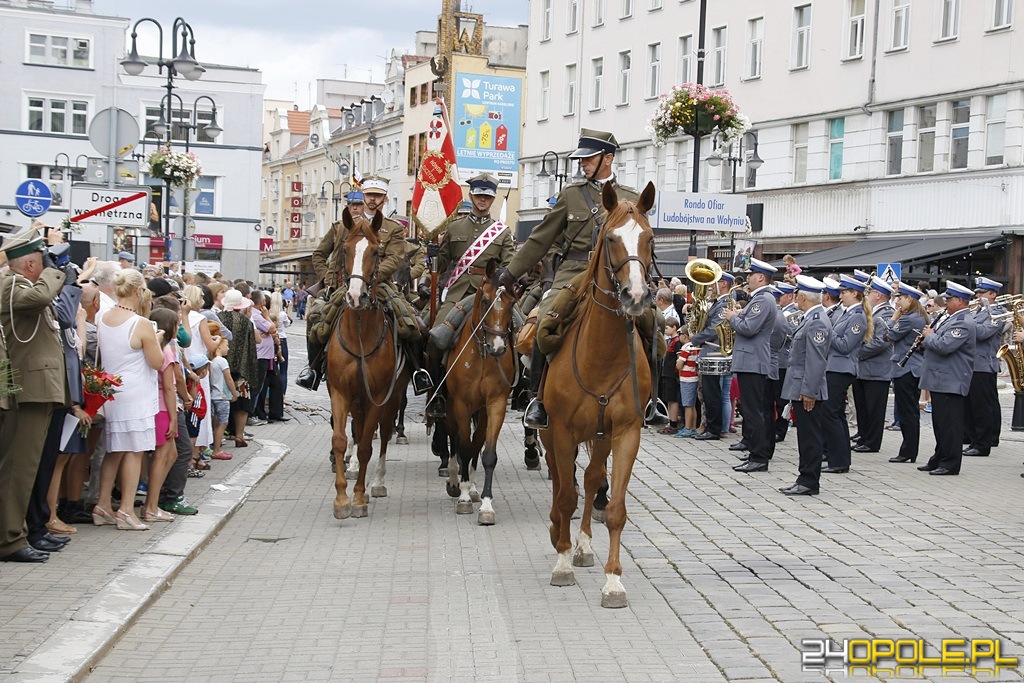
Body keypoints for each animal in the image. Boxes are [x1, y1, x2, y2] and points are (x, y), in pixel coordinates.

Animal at [327, 208, 407, 518]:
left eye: (375, 251)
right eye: (345, 249)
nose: (355, 296)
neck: (360, 330)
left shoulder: (378, 396)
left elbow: (365, 448)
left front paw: (359, 498)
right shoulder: (340, 392)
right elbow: (340, 439)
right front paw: (341, 499)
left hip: (392, 397)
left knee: (381, 435)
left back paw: (377, 483)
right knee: (359, 431)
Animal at [442, 259, 520, 528]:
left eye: (512, 302)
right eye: (485, 300)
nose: (498, 348)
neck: (483, 357)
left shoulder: (495, 404)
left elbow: (486, 453)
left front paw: (485, 503)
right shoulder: (461, 404)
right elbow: (464, 447)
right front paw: (464, 496)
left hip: (482, 411)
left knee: (476, 443)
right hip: (451, 408)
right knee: (454, 439)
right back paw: (455, 481)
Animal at [540, 179, 659, 606]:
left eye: (650, 238)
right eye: (610, 238)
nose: (635, 297)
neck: (603, 354)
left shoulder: (626, 433)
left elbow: (614, 505)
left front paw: (613, 580)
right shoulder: (560, 429)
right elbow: (565, 495)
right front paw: (560, 563)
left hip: (601, 434)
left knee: (591, 480)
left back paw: (584, 544)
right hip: (550, 431)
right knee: (560, 481)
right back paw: (558, 532)